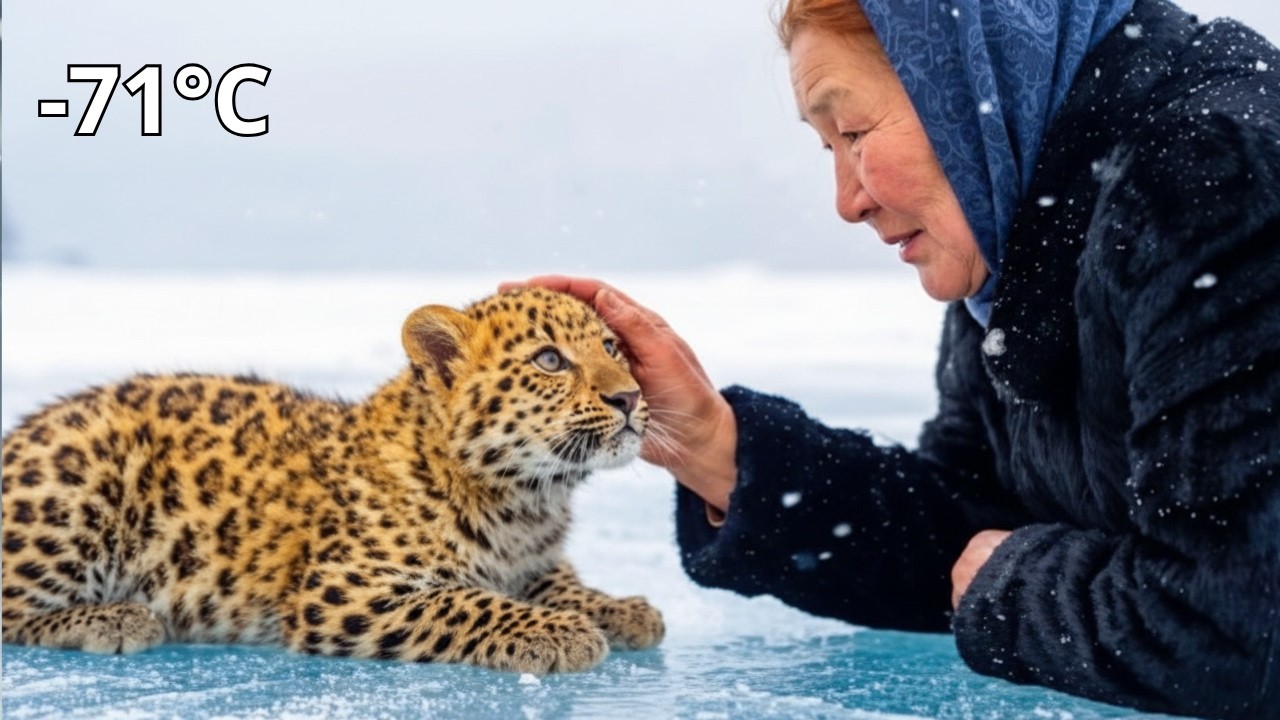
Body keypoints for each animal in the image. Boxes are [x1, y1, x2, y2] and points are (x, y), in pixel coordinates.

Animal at [0, 287, 664, 673]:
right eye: (550, 360)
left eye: (612, 347)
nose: (630, 397)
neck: (528, 498)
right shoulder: (344, 590)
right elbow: (468, 602)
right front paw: (561, 633)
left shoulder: (533, 558)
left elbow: (556, 581)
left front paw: (621, 610)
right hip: (78, 483)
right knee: (11, 611)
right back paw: (117, 619)